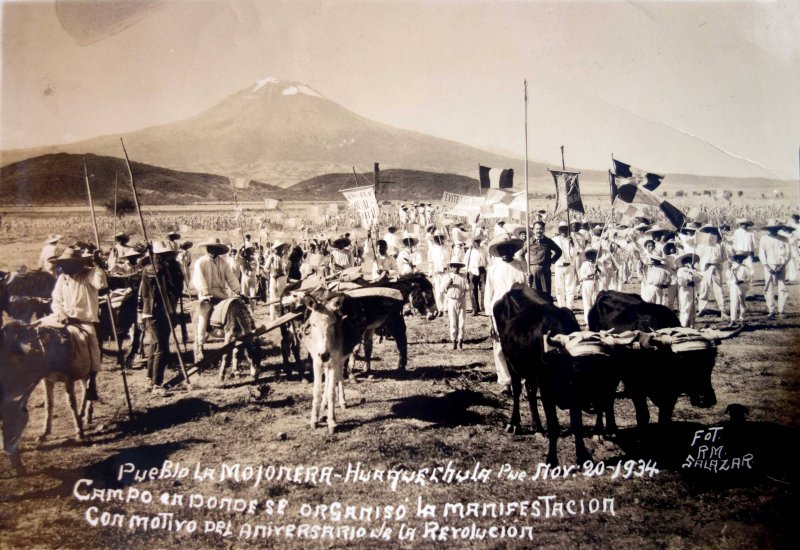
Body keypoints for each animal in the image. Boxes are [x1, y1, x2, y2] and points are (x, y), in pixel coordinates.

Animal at [494, 284, 624, 470]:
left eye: (602, 371)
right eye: (577, 368)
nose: (594, 403)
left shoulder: (574, 396)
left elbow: (577, 425)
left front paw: (583, 457)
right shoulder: (547, 390)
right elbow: (554, 426)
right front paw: (552, 460)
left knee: (530, 392)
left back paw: (538, 429)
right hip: (510, 360)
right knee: (518, 390)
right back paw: (514, 424)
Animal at [588, 288, 744, 432]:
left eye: (711, 362)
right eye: (683, 361)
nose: (704, 399)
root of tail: (605, 292)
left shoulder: (671, 395)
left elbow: (664, 419)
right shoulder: (637, 388)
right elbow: (643, 416)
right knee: (607, 397)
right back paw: (610, 428)